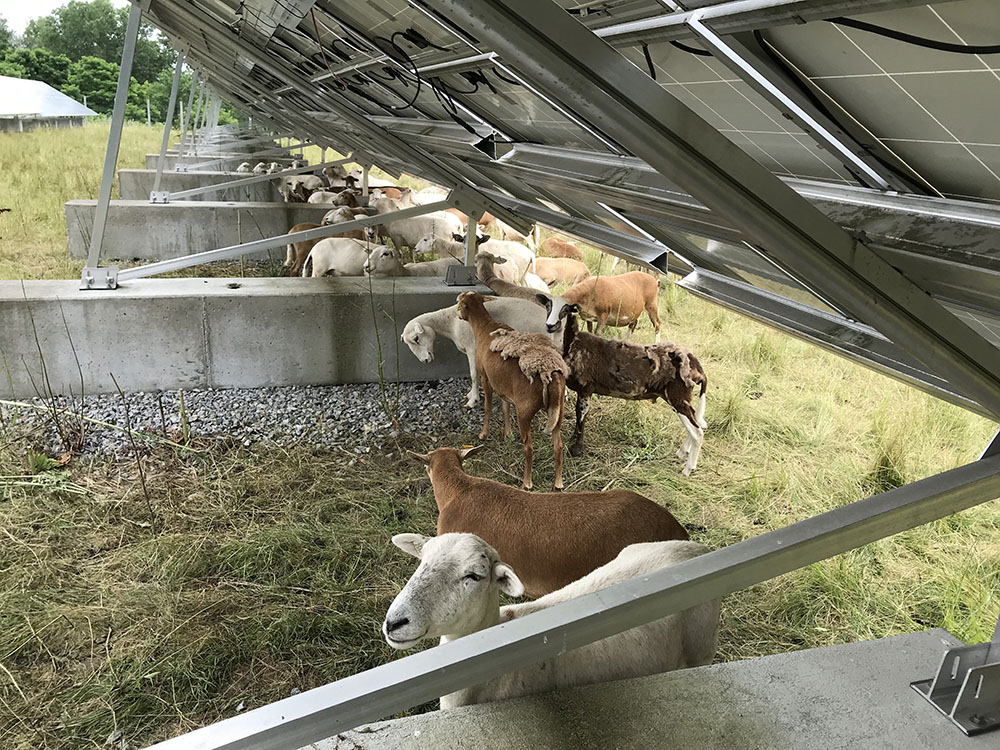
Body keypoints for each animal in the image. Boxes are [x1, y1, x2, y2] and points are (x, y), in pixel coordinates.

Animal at [455, 291, 568, 490]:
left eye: (460, 303)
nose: (457, 313)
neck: (485, 327)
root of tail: (550, 375)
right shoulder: (503, 386)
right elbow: (505, 407)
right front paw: (507, 434)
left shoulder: (486, 378)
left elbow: (488, 407)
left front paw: (483, 434)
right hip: (558, 411)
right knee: (559, 447)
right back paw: (558, 483)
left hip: (525, 411)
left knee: (529, 448)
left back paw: (527, 483)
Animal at [550, 305, 708, 475]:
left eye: (564, 310)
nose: (550, 326)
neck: (572, 344)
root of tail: (695, 364)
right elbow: (578, 415)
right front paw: (573, 441)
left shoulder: (586, 388)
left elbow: (581, 417)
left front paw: (576, 450)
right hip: (680, 399)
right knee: (695, 421)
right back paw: (681, 453)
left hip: (677, 397)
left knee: (697, 432)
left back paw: (687, 469)